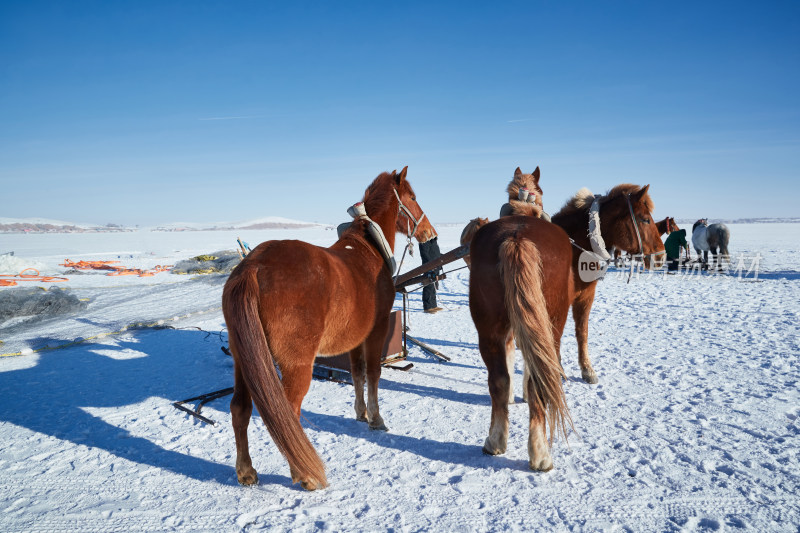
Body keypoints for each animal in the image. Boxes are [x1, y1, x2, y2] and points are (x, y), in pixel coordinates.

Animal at [222, 168, 434, 488]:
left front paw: (360, 413)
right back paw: (304, 474)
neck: (369, 248)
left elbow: (357, 373)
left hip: (243, 358)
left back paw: (246, 471)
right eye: (411, 197)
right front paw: (375, 418)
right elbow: (374, 373)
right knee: (289, 413)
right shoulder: (377, 329)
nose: (430, 233)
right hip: (296, 364)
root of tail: (252, 267)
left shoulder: (356, 336)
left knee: (239, 409)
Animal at [468, 183, 664, 470]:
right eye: (645, 219)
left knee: (498, 379)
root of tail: (517, 237)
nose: (661, 256)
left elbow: (518, 354)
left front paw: (516, 394)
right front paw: (587, 370)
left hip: (488, 327)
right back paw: (540, 453)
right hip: (552, 322)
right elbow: (581, 333)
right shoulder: (584, 296)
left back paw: (495, 440)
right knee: (540, 377)